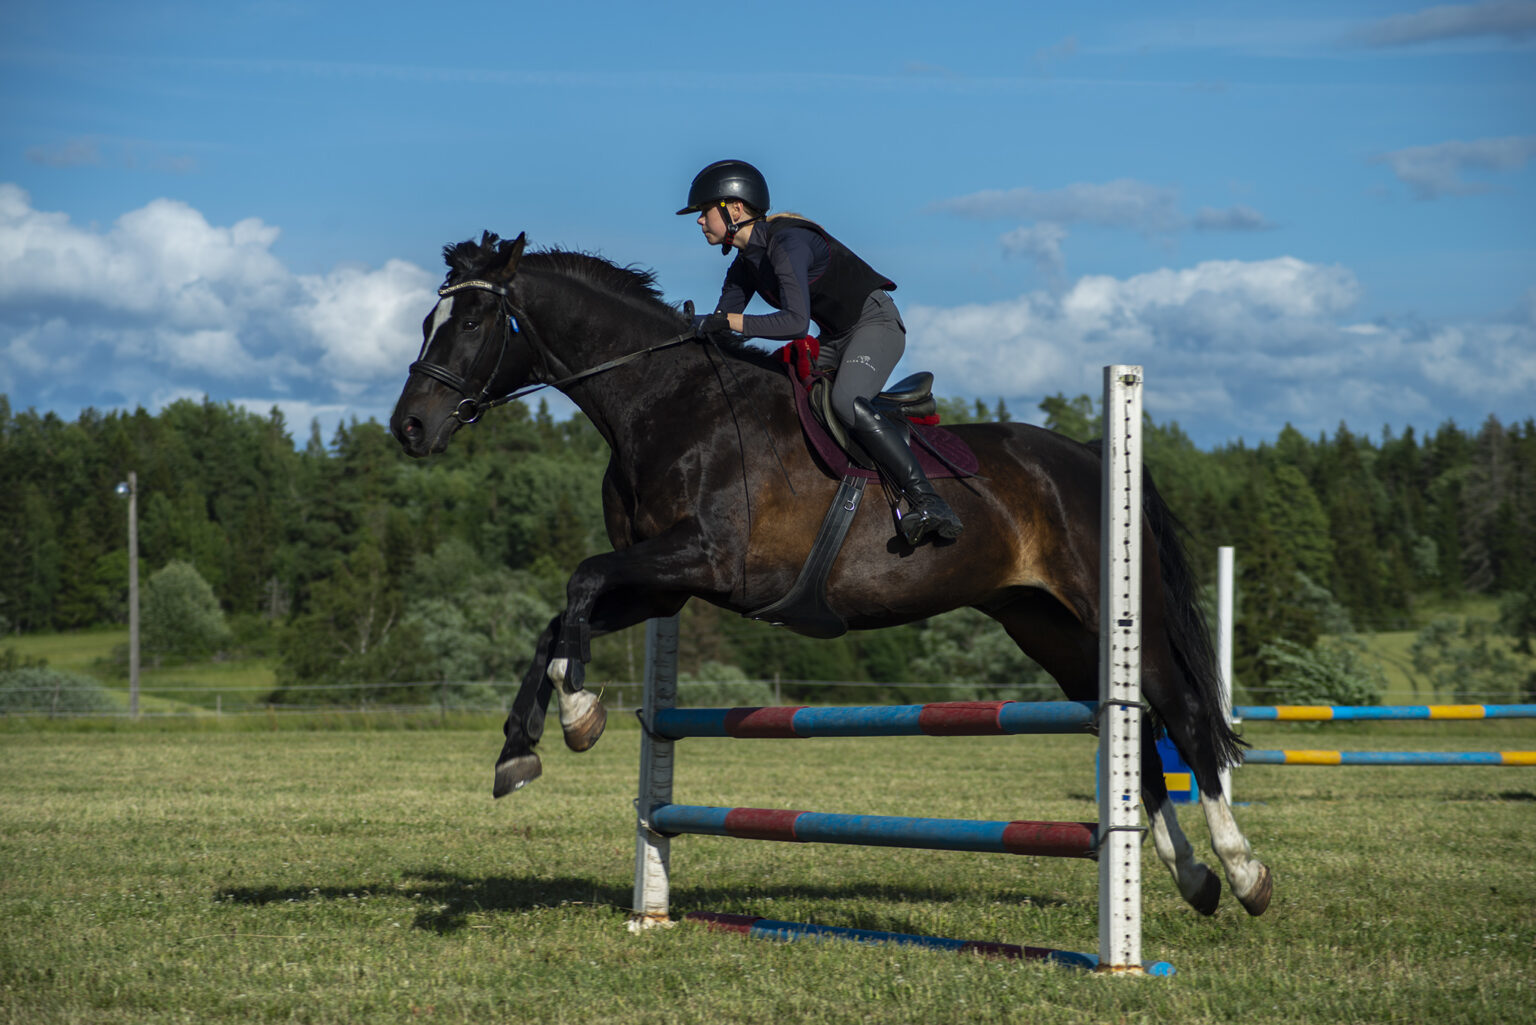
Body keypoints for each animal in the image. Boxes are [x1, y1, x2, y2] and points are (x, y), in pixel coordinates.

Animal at [389, 230, 1272, 918]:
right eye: (430, 319)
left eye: (473, 320)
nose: (410, 427)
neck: (665, 402)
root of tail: (1093, 455)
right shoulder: (668, 583)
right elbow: (557, 620)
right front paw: (519, 750)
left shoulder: (705, 559)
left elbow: (577, 581)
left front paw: (577, 716)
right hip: (1046, 626)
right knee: (1137, 732)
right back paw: (1191, 877)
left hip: (1118, 613)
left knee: (1183, 716)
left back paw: (1242, 871)